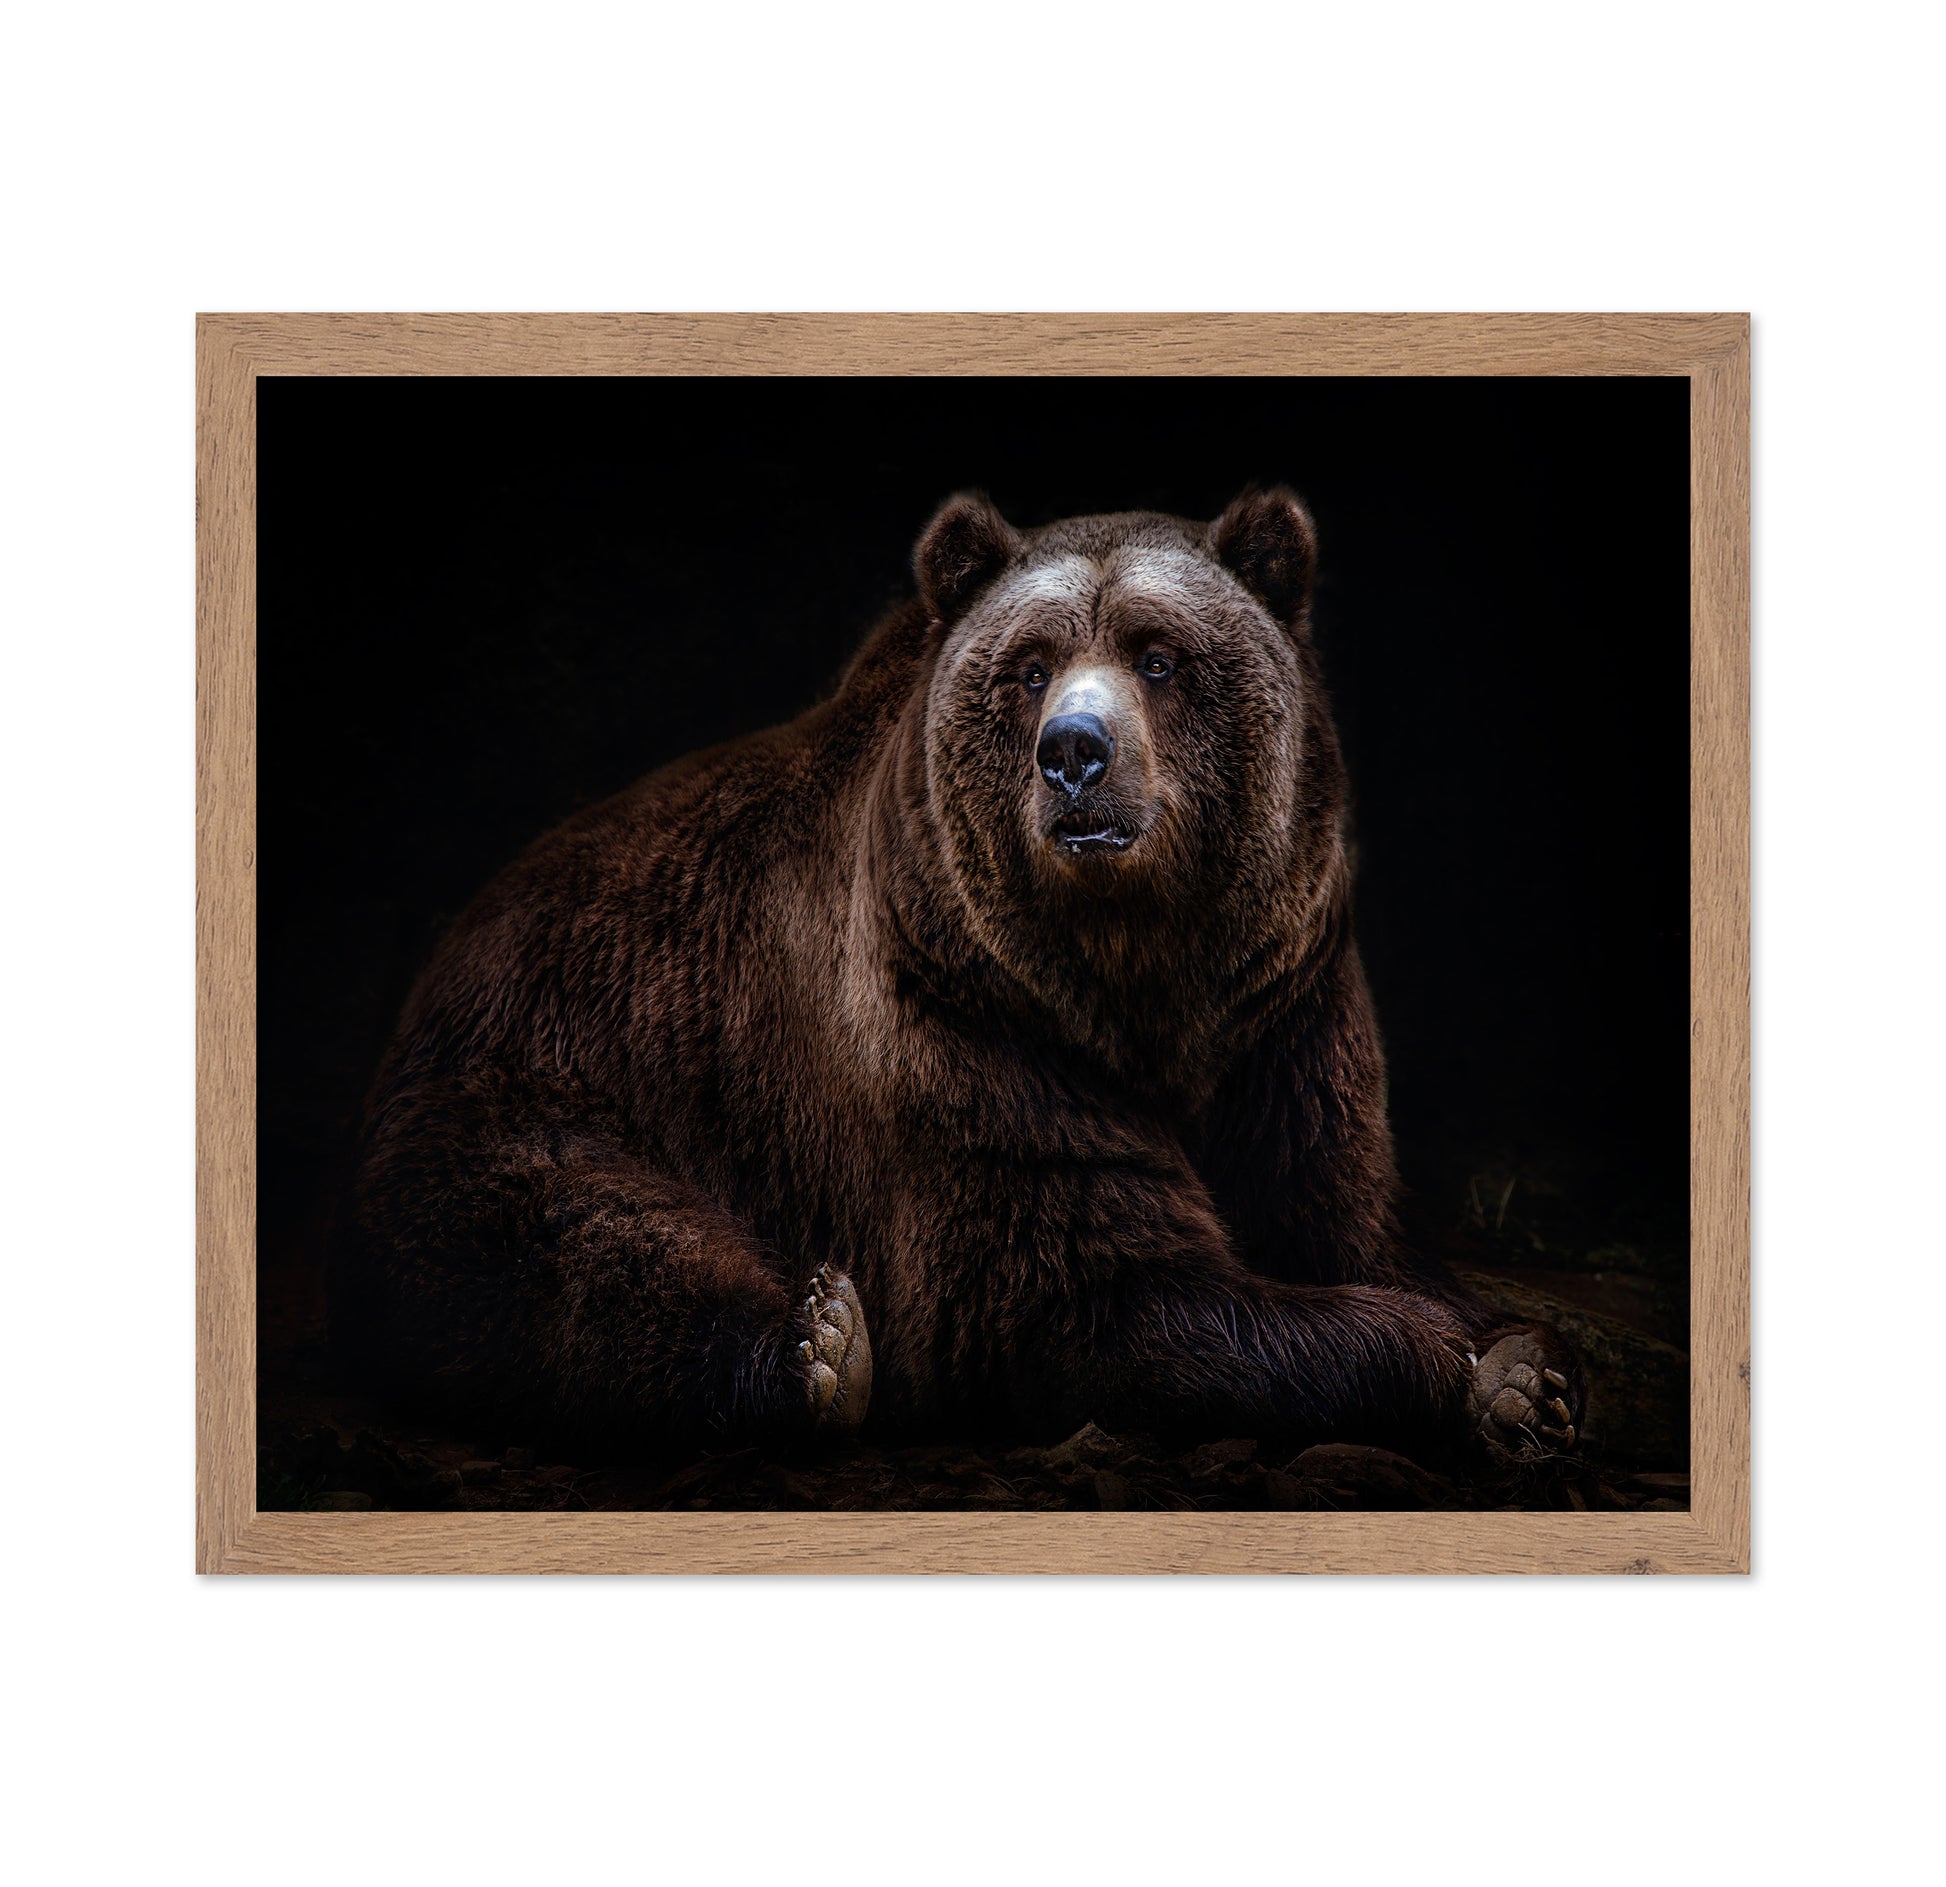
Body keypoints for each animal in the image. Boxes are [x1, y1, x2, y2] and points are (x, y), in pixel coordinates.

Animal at [335, 486, 1584, 1469]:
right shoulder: (961, 1018)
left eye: (1159, 655)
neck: (1135, 973)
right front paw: (1466, 1367)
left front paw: (1523, 1369)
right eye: (1030, 668)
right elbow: (1086, 1295)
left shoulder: (1283, 1010)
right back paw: (812, 1348)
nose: (1073, 752)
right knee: (573, 1250)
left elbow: (1334, 1206)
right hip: (536, 1086)